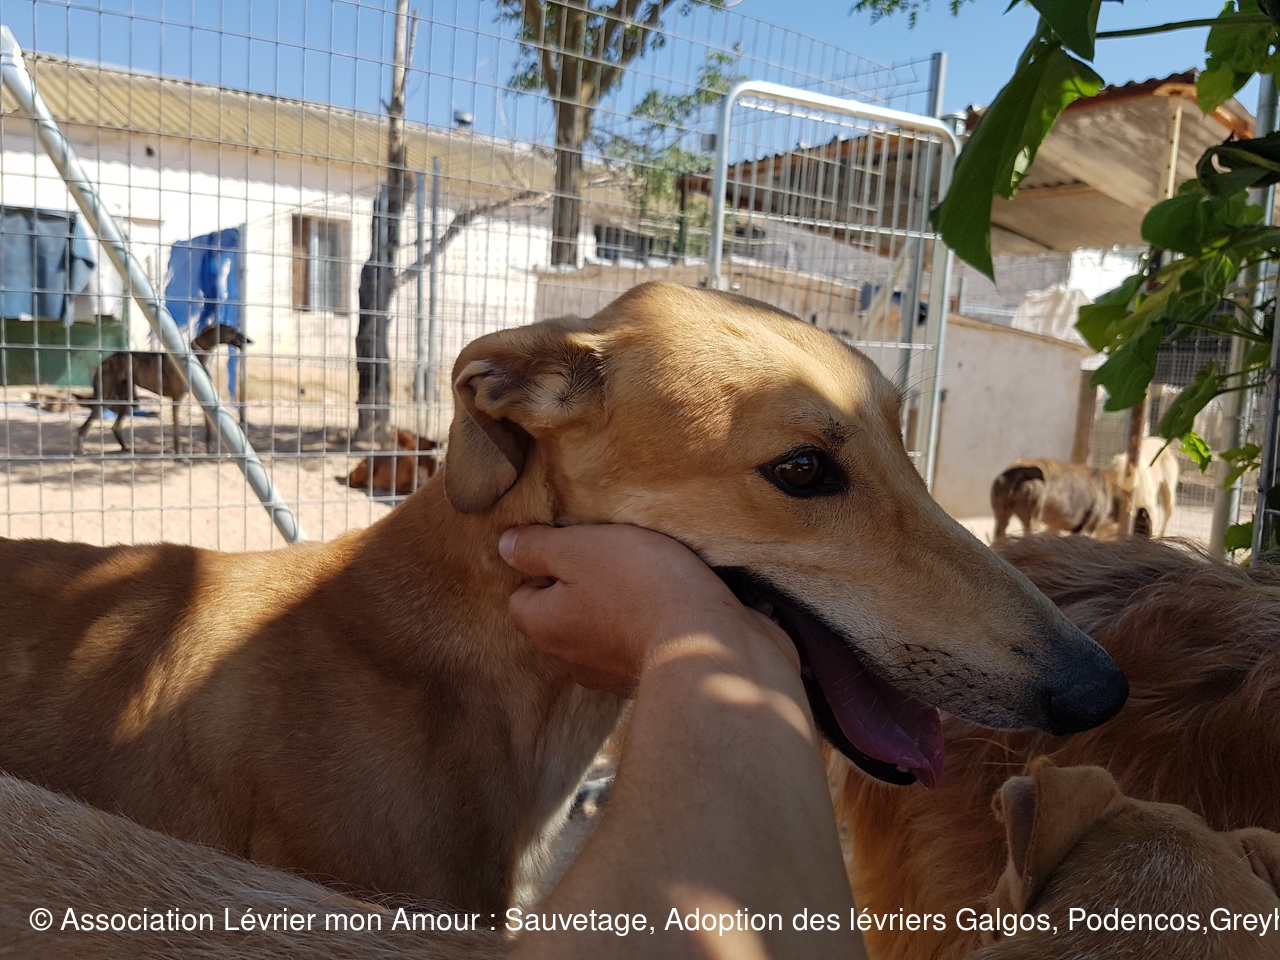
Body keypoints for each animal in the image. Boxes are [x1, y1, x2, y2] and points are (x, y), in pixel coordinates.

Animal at [75, 322, 251, 454]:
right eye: (234, 331)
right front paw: (178, 454)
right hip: (107, 396)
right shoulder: (176, 400)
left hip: (128, 398)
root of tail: (103, 362)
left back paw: (125, 447)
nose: (249, 340)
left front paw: (210, 451)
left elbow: (208, 430)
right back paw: (80, 449)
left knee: (115, 424)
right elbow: (176, 431)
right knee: (85, 426)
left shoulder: (205, 399)